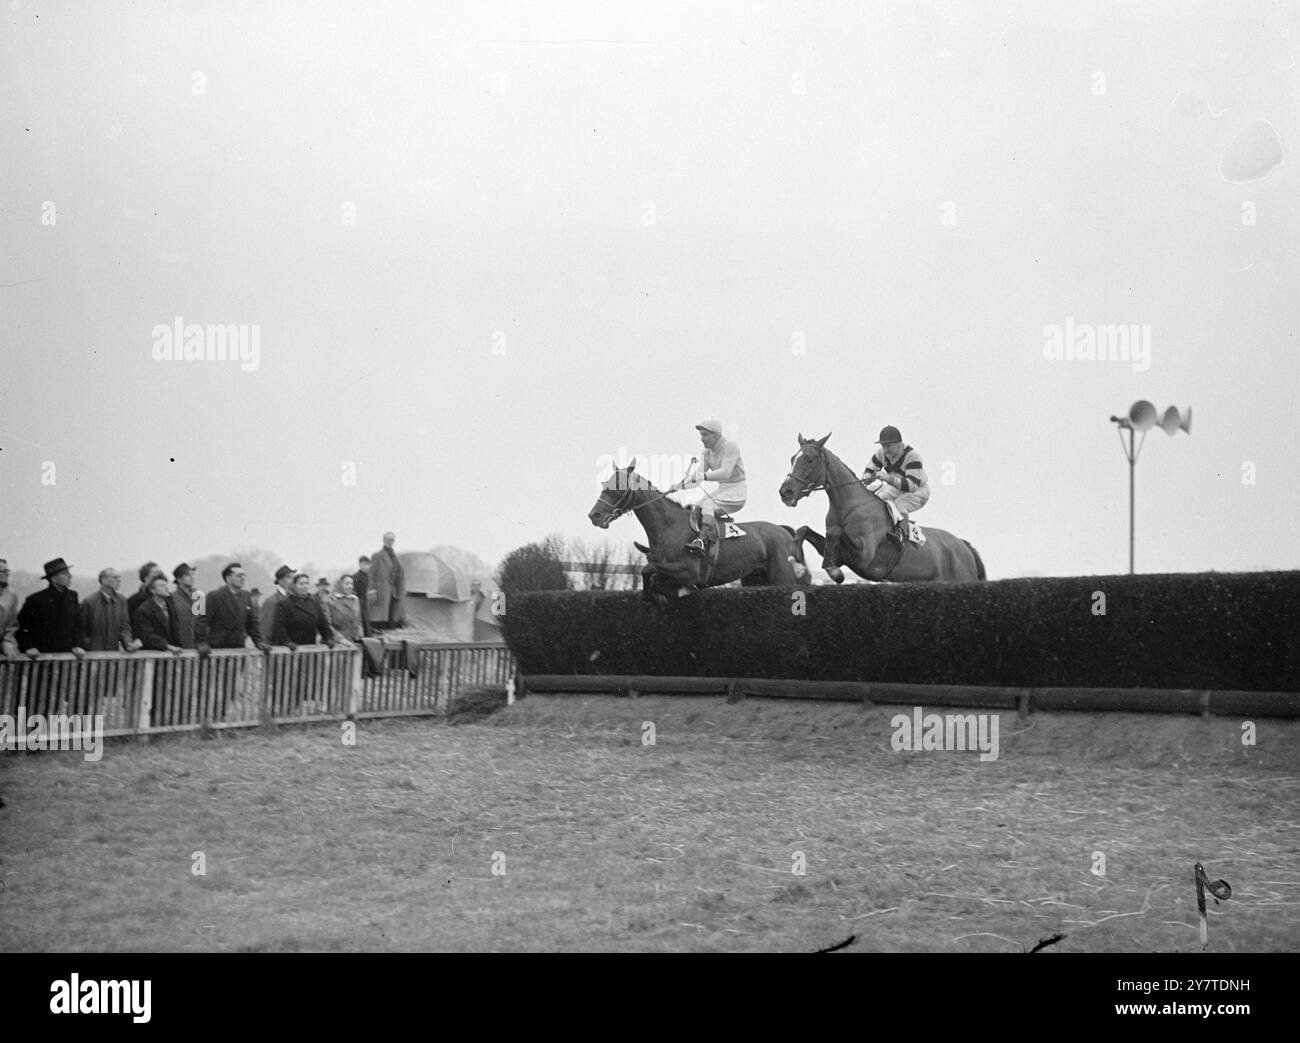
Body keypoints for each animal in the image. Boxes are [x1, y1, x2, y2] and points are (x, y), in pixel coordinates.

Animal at [592, 460, 811, 598]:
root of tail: (785, 532)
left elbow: (648, 570)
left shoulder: (688, 571)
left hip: (782, 577)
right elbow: (651, 577)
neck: (669, 525)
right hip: (754, 578)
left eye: (618, 487)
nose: (594, 515)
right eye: (604, 484)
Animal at [780, 426, 982, 580]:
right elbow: (804, 530)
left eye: (809, 459)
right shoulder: (839, 555)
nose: (785, 492)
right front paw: (796, 563)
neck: (848, 507)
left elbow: (834, 532)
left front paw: (834, 573)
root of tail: (963, 546)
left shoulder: (864, 556)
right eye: (792, 459)